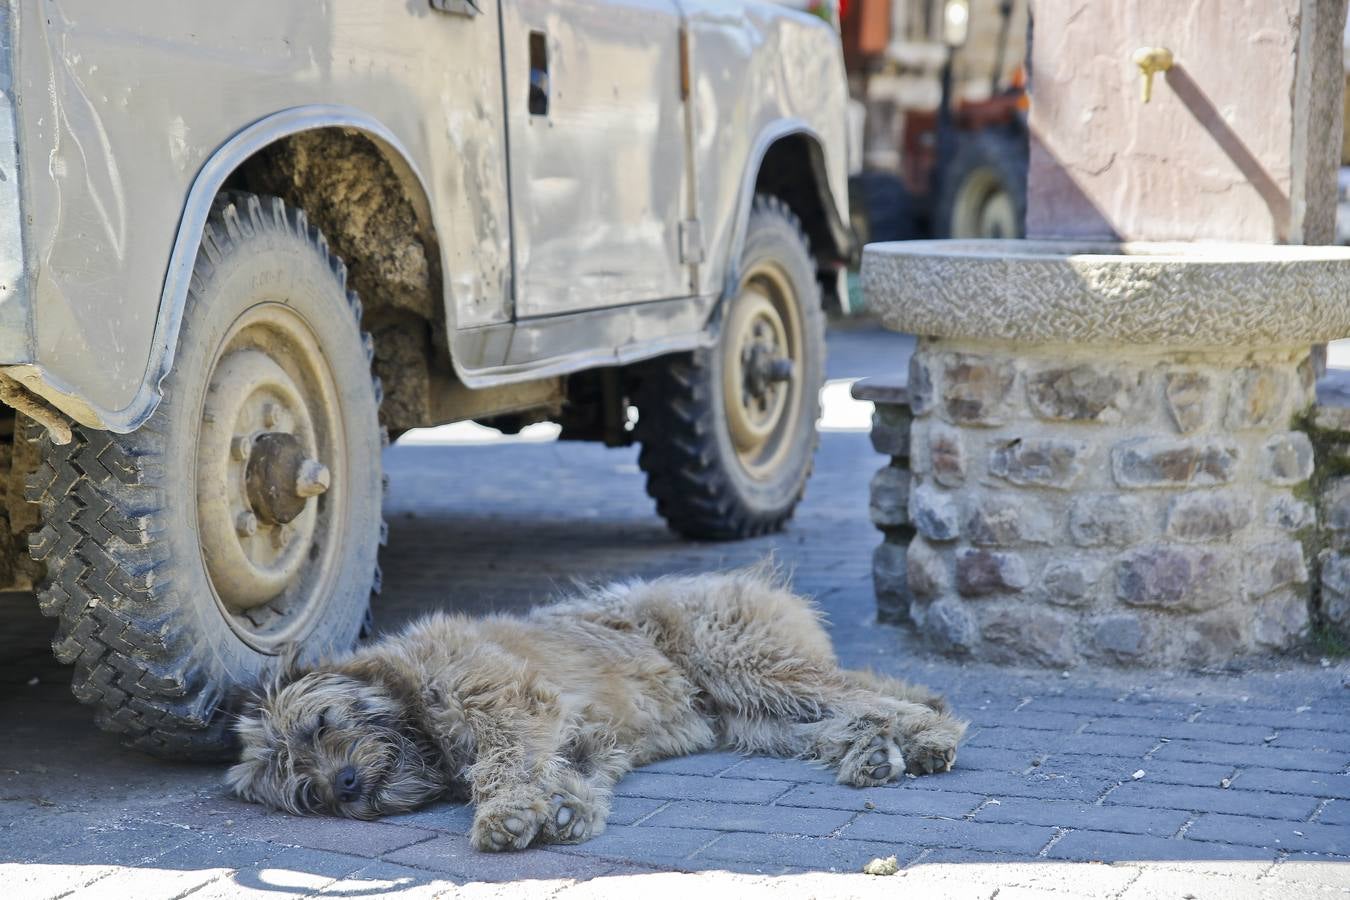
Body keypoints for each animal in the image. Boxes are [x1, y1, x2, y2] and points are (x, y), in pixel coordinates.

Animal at [232, 569, 972, 852]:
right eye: (306, 793)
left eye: (322, 725)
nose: (344, 785)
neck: (414, 702)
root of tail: (743, 579)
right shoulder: (582, 738)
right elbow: (566, 771)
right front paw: (564, 809)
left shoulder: (508, 705)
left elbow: (500, 766)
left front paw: (505, 814)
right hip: (756, 717)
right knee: (838, 720)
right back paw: (876, 752)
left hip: (747, 667)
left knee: (868, 696)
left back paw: (930, 734)